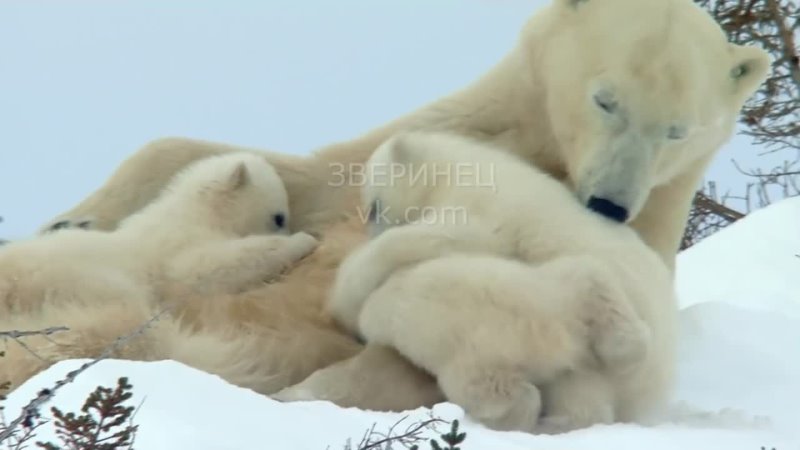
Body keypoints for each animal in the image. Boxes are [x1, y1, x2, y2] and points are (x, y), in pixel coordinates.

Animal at [18, 0, 768, 412]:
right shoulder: (441, 133)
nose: (609, 204)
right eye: (605, 99)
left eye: (679, 130)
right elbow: (292, 173)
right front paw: (74, 216)